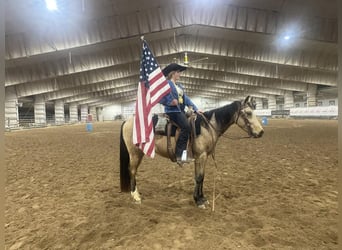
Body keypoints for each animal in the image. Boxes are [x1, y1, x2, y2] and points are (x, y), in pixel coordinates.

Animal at [120, 96, 264, 208]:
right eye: (248, 113)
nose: (261, 132)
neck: (207, 127)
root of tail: (128, 121)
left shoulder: (201, 157)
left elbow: (200, 177)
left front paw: (202, 198)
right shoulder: (201, 156)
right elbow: (199, 177)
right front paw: (198, 201)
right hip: (135, 153)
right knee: (132, 170)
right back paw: (136, 196)